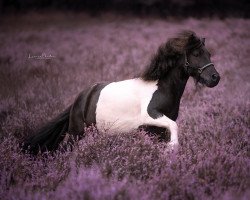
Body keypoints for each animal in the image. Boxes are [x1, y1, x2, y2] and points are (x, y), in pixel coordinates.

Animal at [22, 30, 220, 155]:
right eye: (195, 54)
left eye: (209, 53)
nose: (215, 78)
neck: (162, 89)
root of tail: (80, 98)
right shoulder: (152, 115)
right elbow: (174, 127)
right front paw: (172, 150)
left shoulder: (156, 130)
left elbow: (169, 132)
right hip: (77, 133)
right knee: (65, 150)